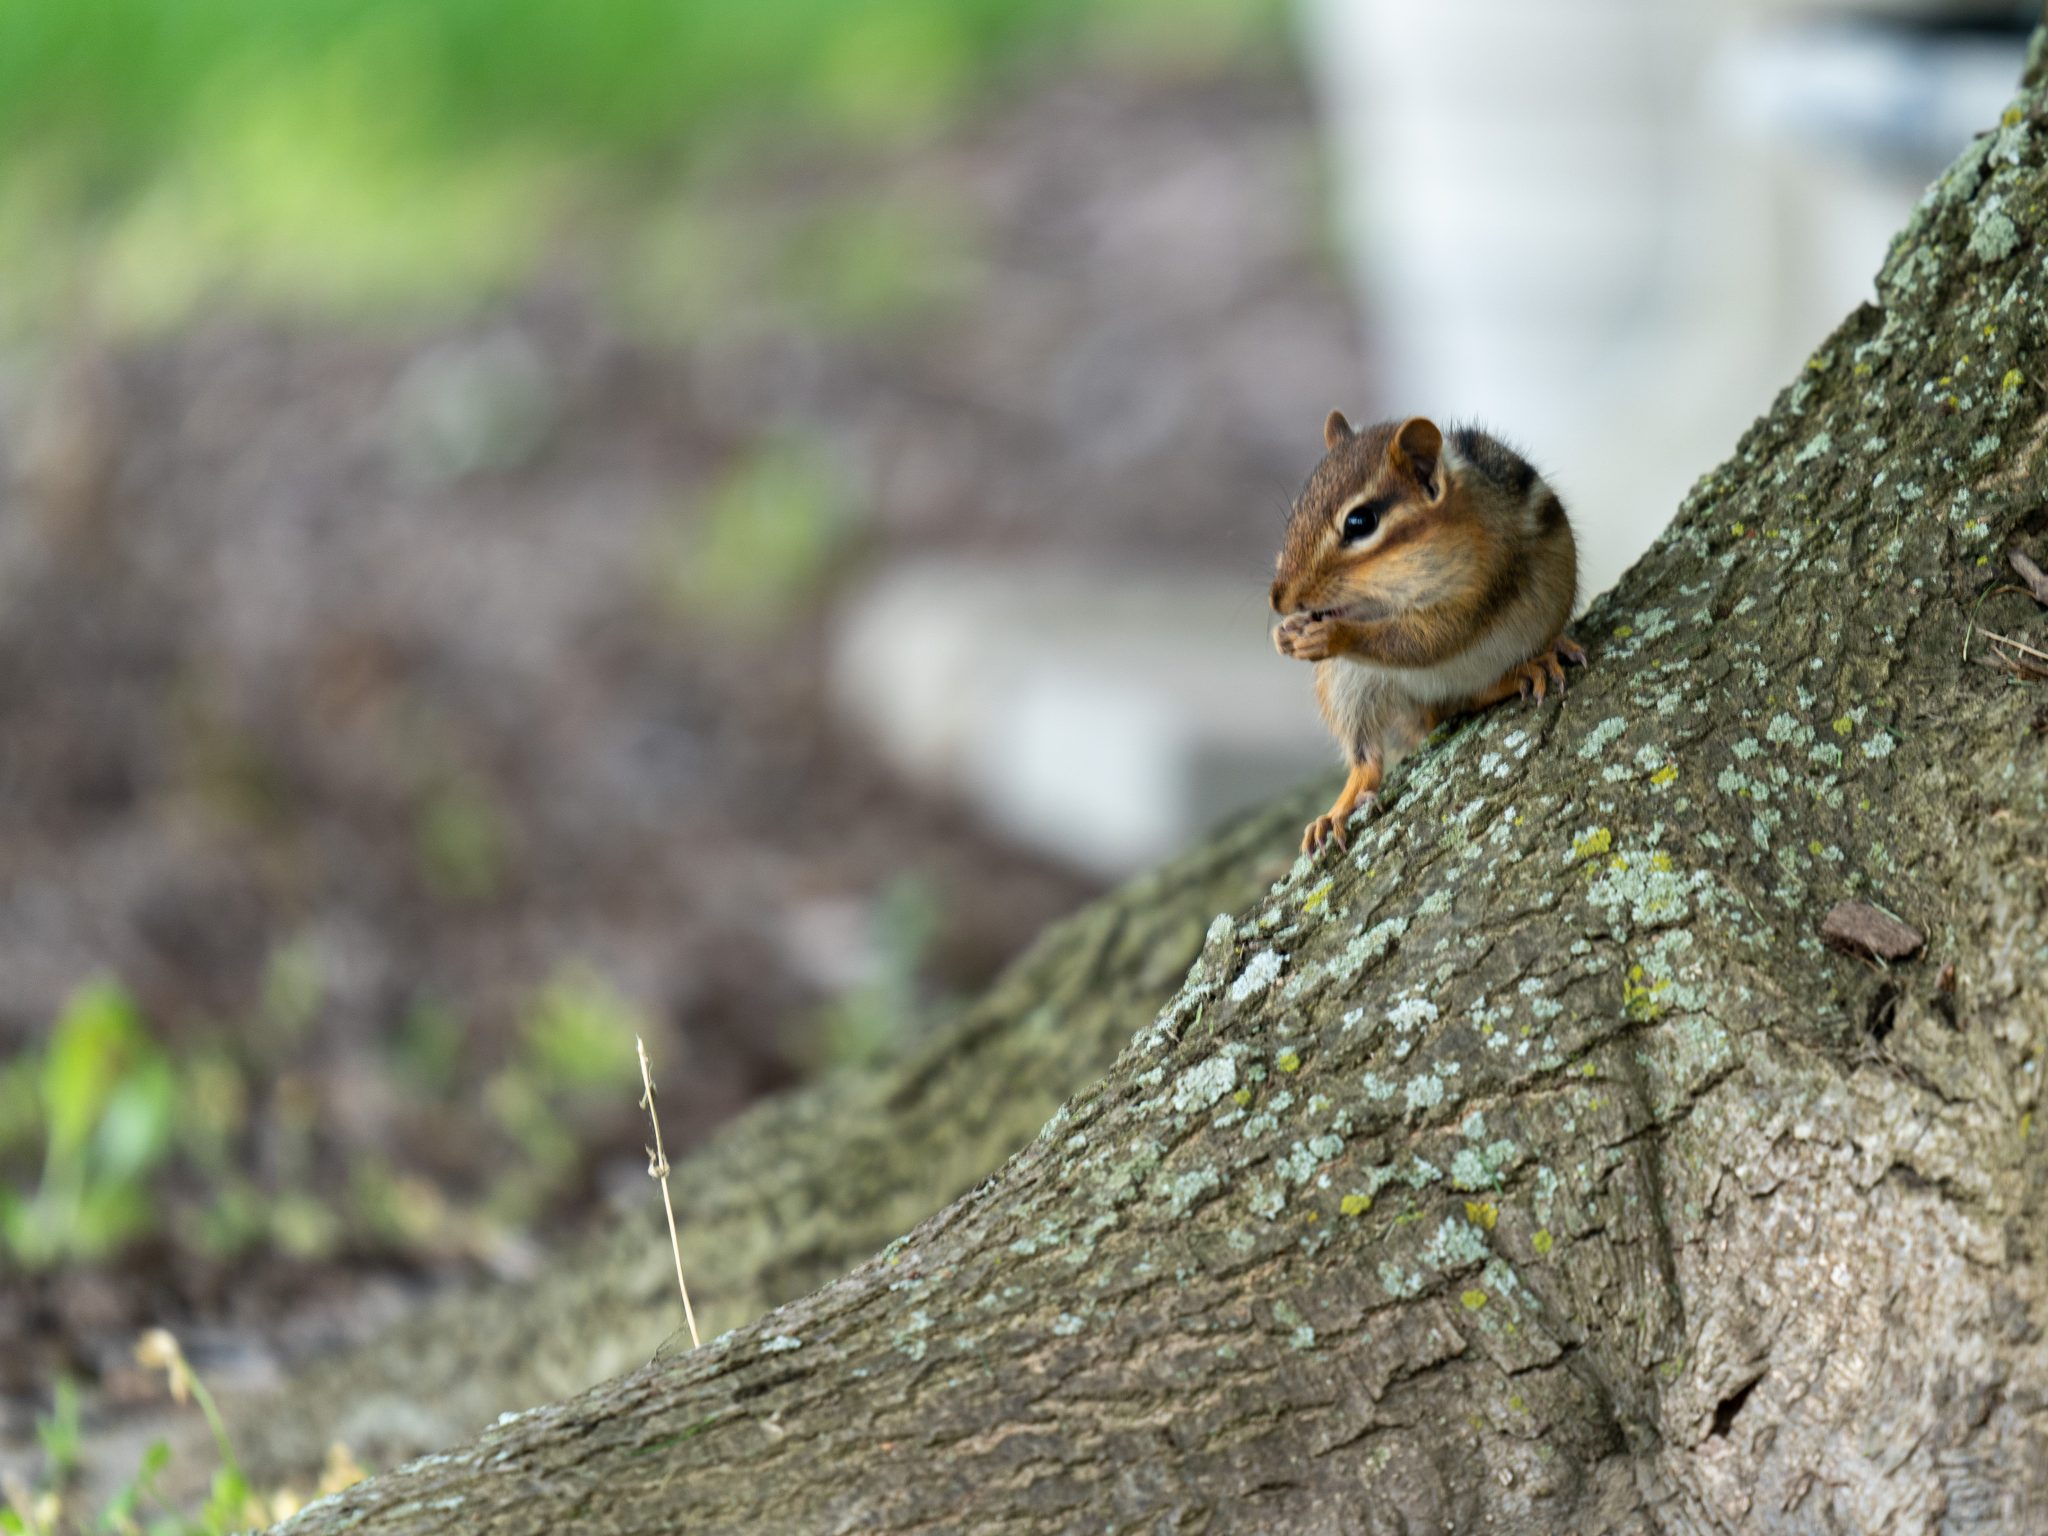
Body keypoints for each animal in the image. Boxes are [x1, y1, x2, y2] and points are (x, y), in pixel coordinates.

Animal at [1270, 412, 1583, 855]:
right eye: (1296, 512)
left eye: (1360, 522)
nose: (1278, 598)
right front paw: (1285, 633)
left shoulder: (1479, 584)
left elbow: (1430, 639)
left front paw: (1333, 635)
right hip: (1348, 684)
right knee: (1370, 756)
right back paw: (1337, 811)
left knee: (1466, 697)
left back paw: (1532, 664)